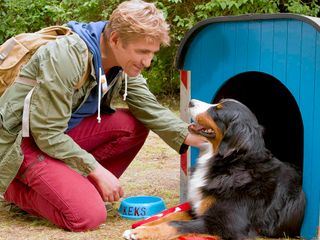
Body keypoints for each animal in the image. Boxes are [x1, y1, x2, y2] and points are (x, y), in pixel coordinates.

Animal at [122, 98, 304, 240]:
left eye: (218, 110)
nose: (191, 101)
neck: (230, 163)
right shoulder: (198, 208)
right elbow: (171, 215)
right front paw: (142, 227)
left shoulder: (225, 223)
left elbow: (175, 223)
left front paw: (142, 232)